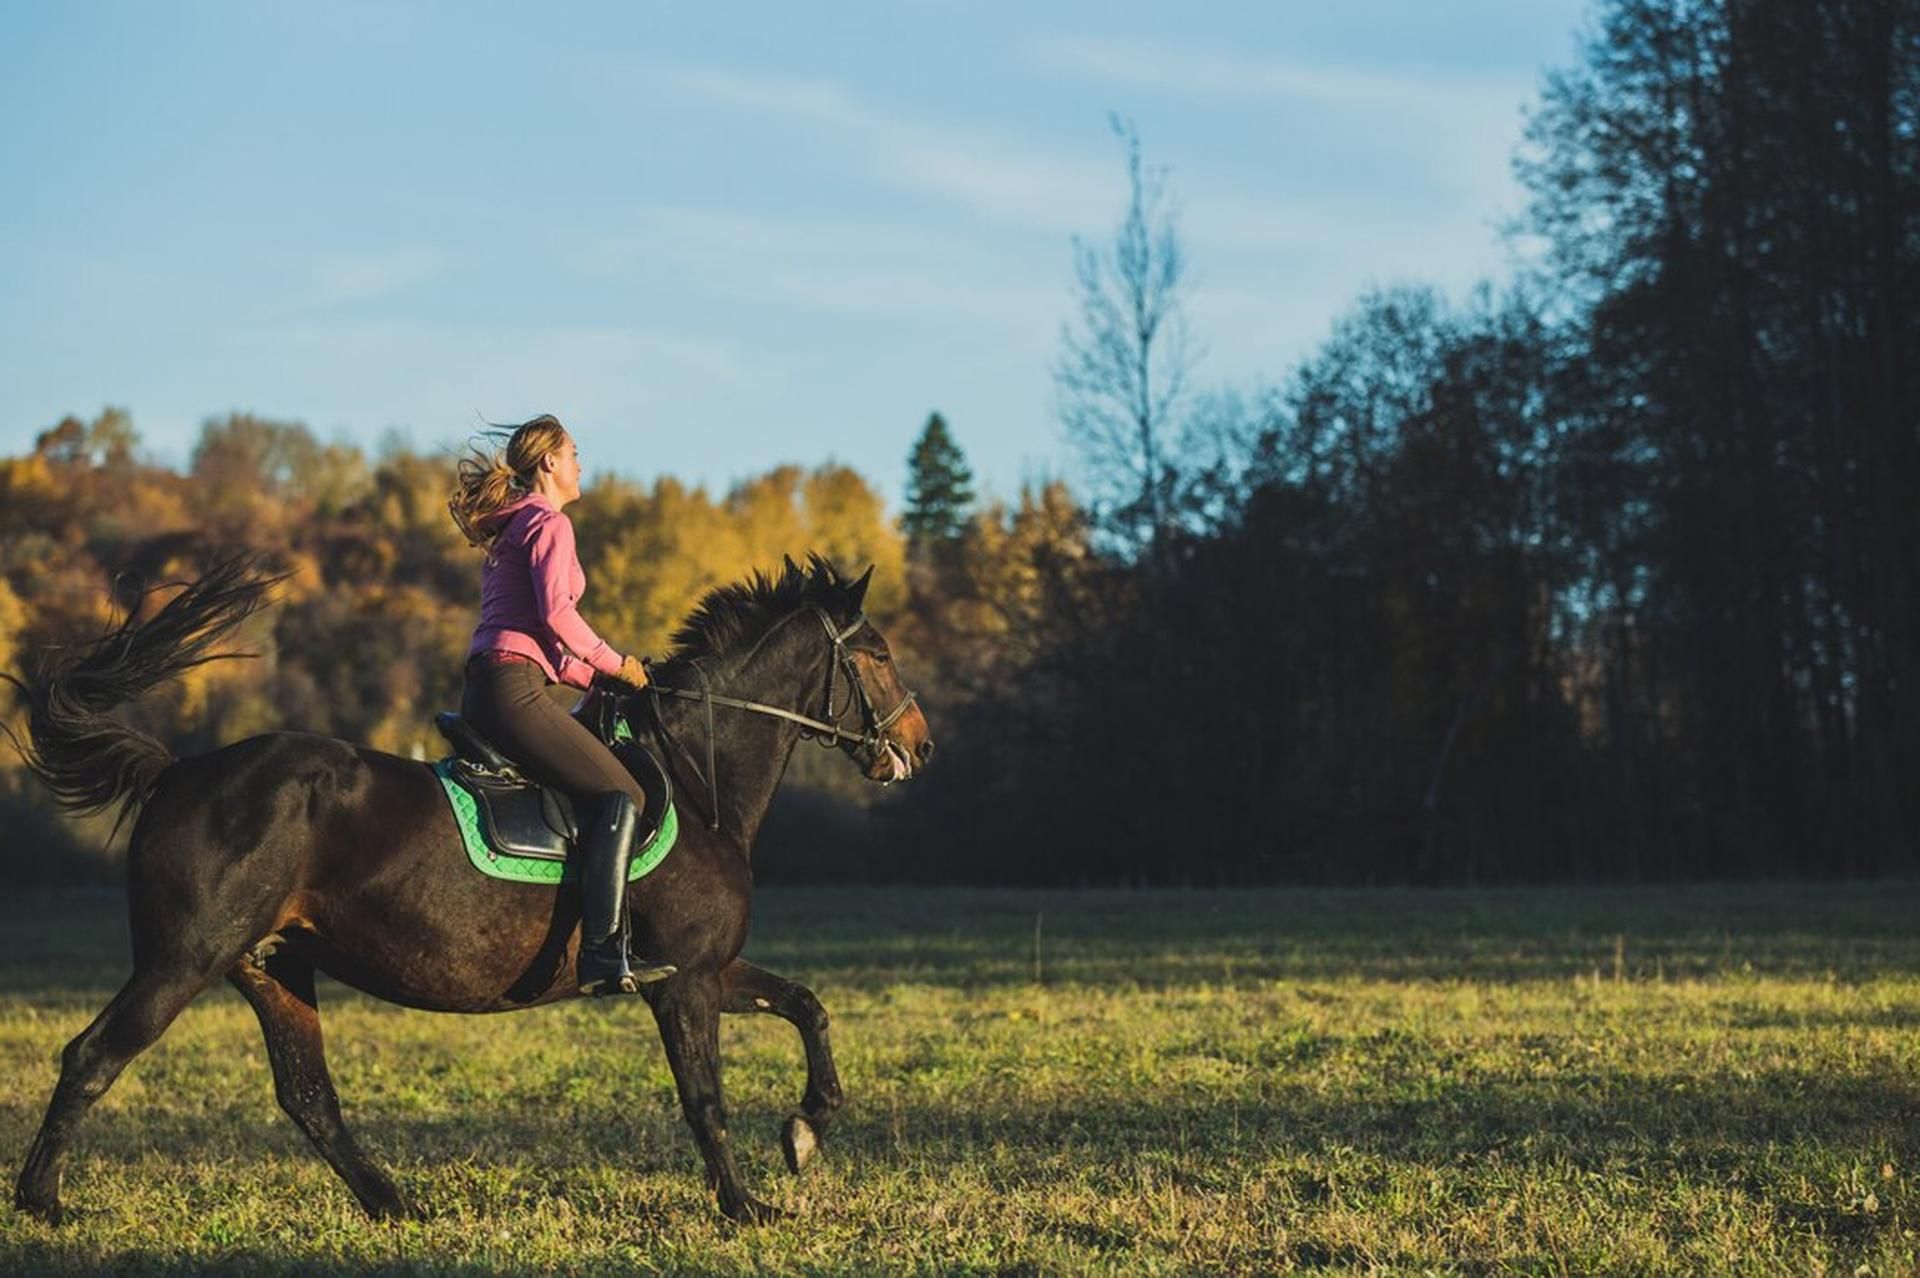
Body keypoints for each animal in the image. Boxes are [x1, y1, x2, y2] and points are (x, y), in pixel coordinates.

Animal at [7, 552, 934, 1224]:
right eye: (879, 655)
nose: (918, 748)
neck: (694, 778)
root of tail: (176, 772)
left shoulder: (707, 969)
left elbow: (809, 1005)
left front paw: (805, 1132)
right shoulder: (686, 983)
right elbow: (705, 1098)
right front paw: (749, 1207)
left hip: (271, 964)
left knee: (308, 1095)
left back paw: (394, 1204)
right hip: (184, 960)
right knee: (92, 1056)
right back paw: (43, 1204)